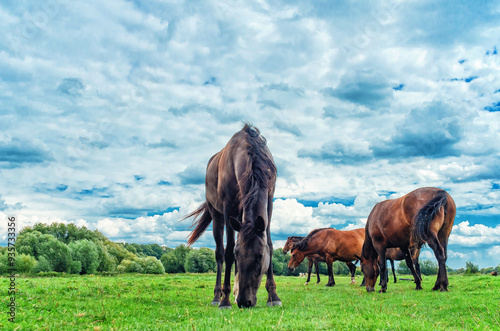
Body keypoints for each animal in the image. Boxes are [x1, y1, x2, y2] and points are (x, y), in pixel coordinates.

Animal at [183, 124, 282, 308]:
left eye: (259, 256)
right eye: (237, 256)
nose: (245, 301)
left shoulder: (269, 202)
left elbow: (270, 245)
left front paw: (273, 296)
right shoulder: (228, 207)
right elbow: (228, 251)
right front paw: (225, 300)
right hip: (217, 216)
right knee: (219, 254)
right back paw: (217, 297)